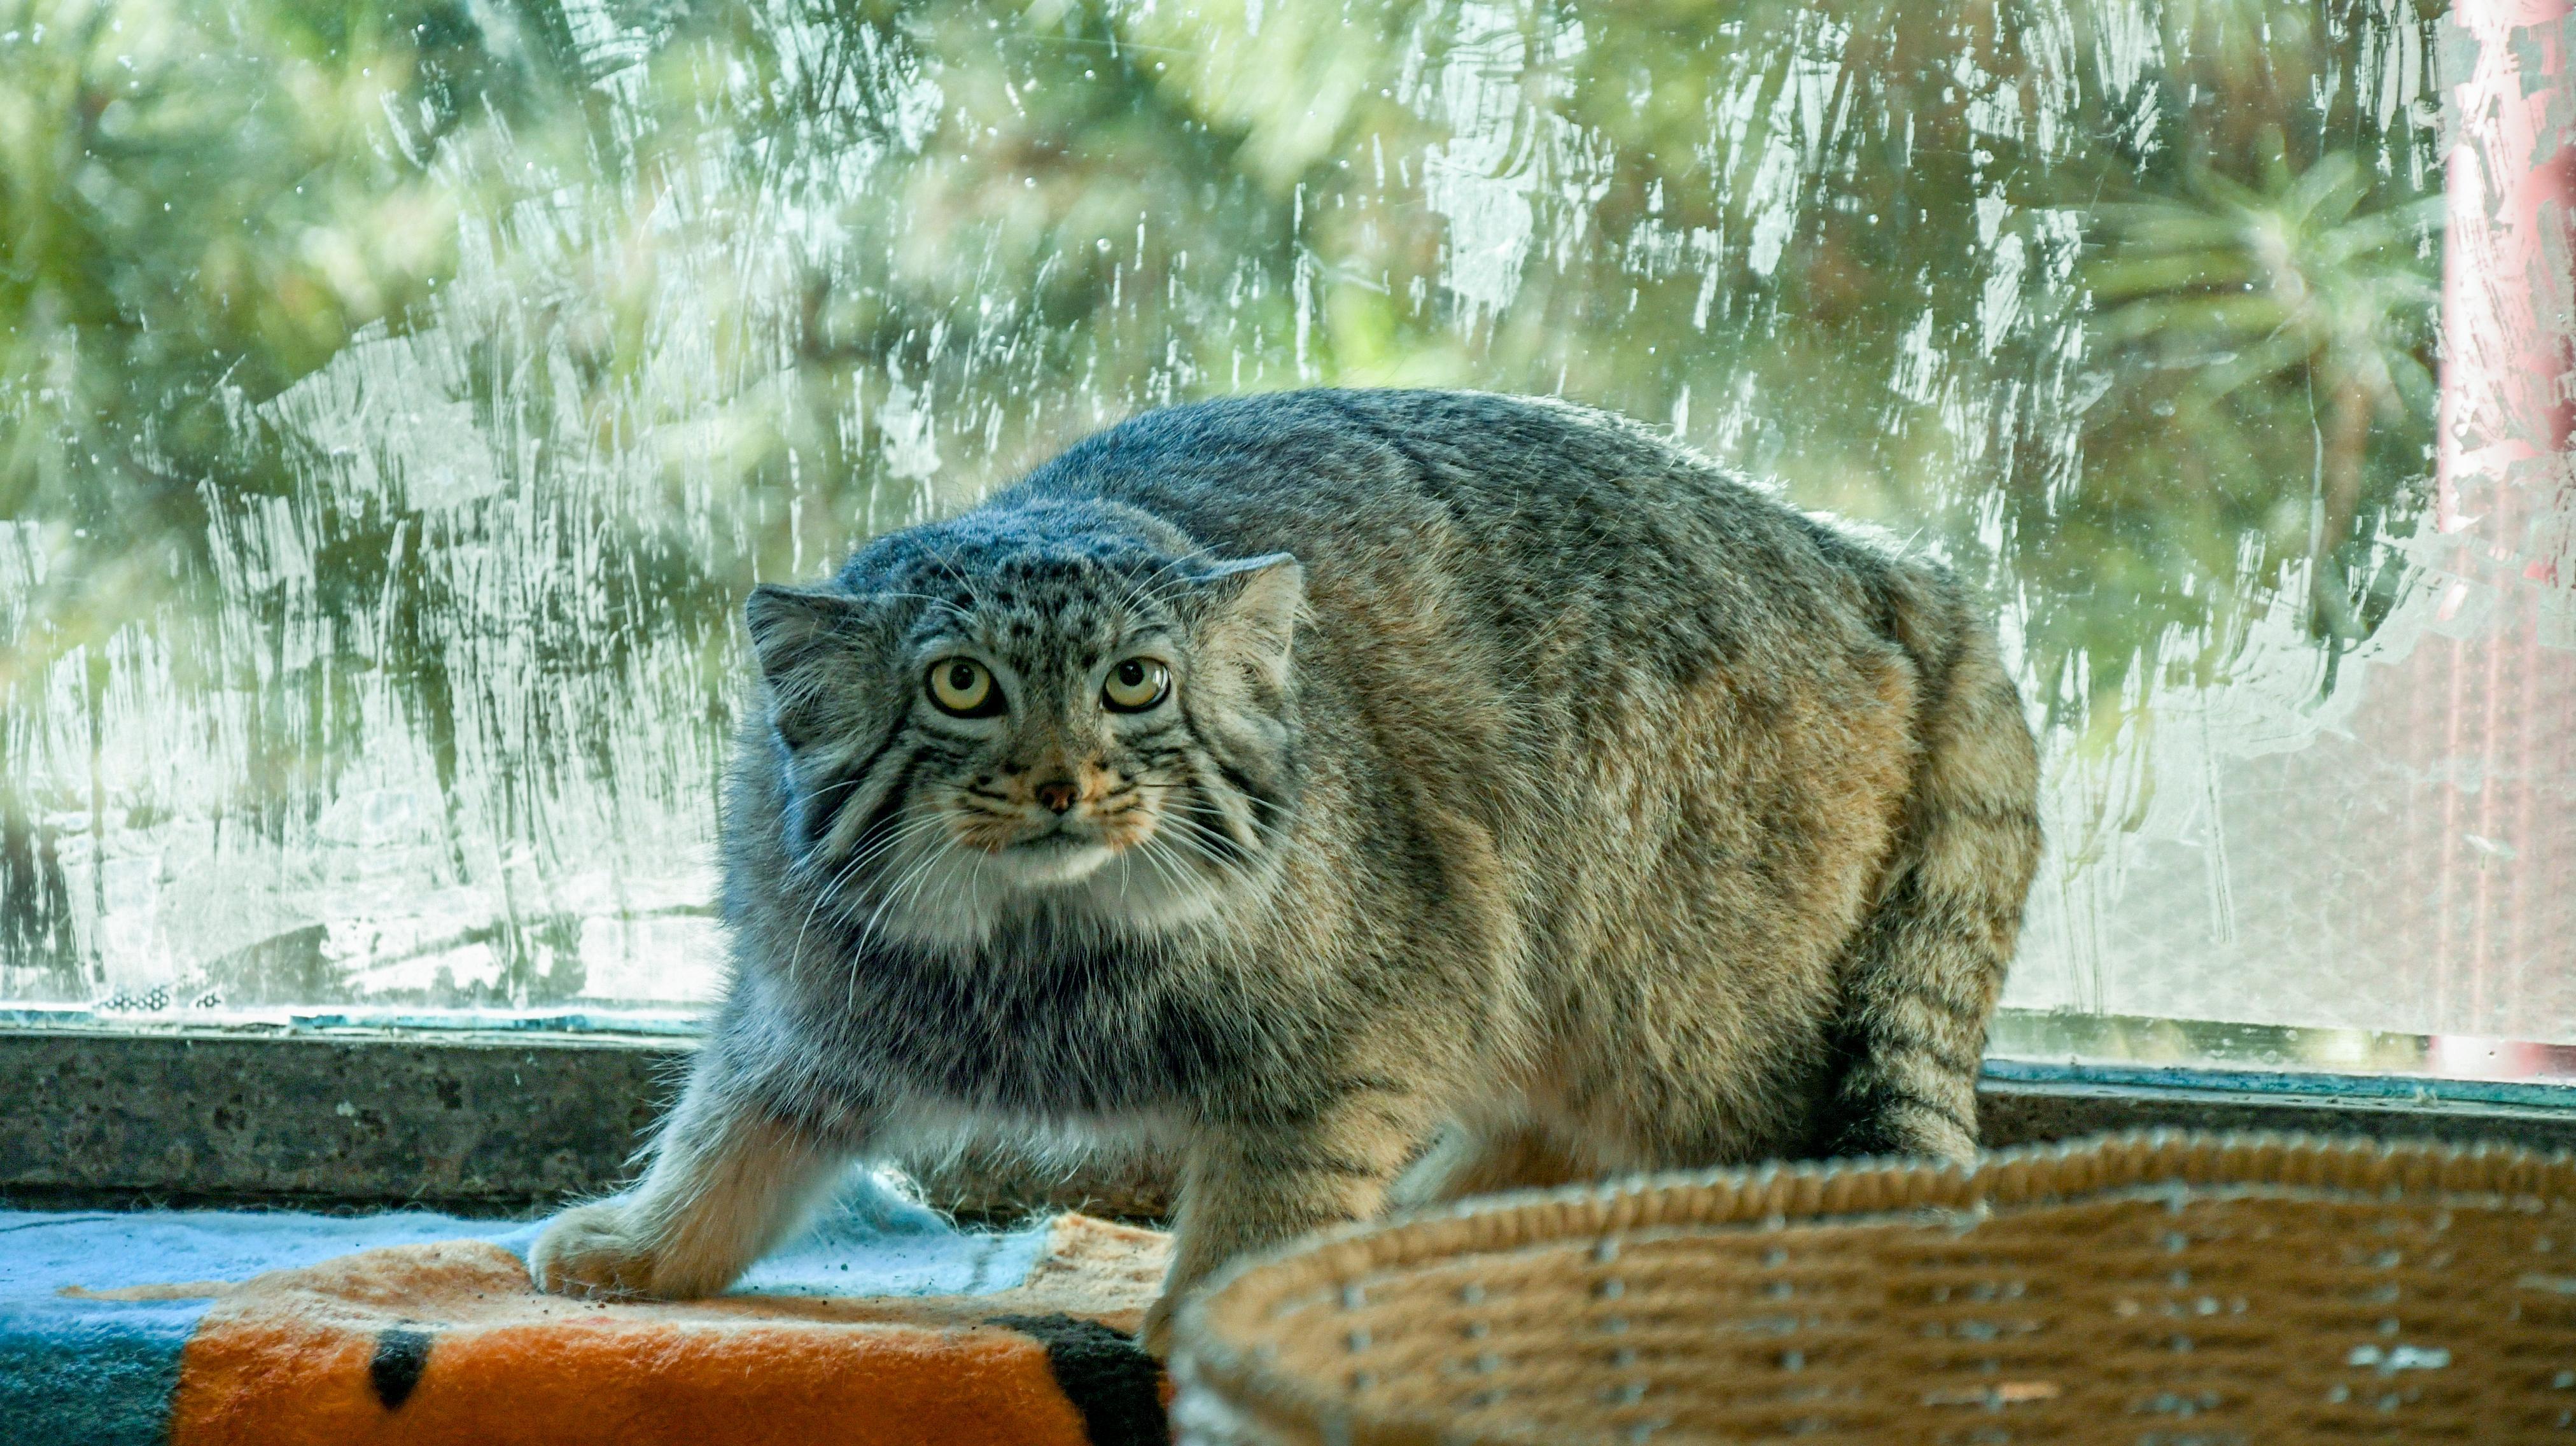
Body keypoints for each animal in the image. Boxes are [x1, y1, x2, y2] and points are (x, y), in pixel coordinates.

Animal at [533, 389, 2040, 1351]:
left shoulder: (1363, 1026)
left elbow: (1274, 1185)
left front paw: (1214, 1320)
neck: (1035, 951)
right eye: (960, 685)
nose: (1062, 780)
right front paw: (647, 1242)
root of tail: (1874, 555)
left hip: (1666, 984)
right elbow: (730, 1128)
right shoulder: (813, 998)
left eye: (1134, 683)